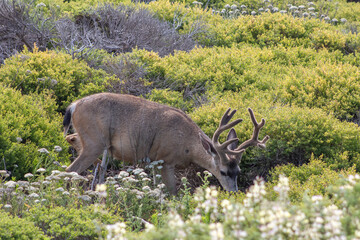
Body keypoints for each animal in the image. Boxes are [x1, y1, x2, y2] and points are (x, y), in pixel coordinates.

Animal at [63, 93, 268, 194]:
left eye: (238, 171)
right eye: (223, 171)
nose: (234, 192)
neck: (188, 144)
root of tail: (73, 105)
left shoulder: (154, 162)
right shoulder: (165, 159)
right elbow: (172, 192)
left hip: (89, 139)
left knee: (71, 138)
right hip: (94, 142)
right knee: (70, 169)